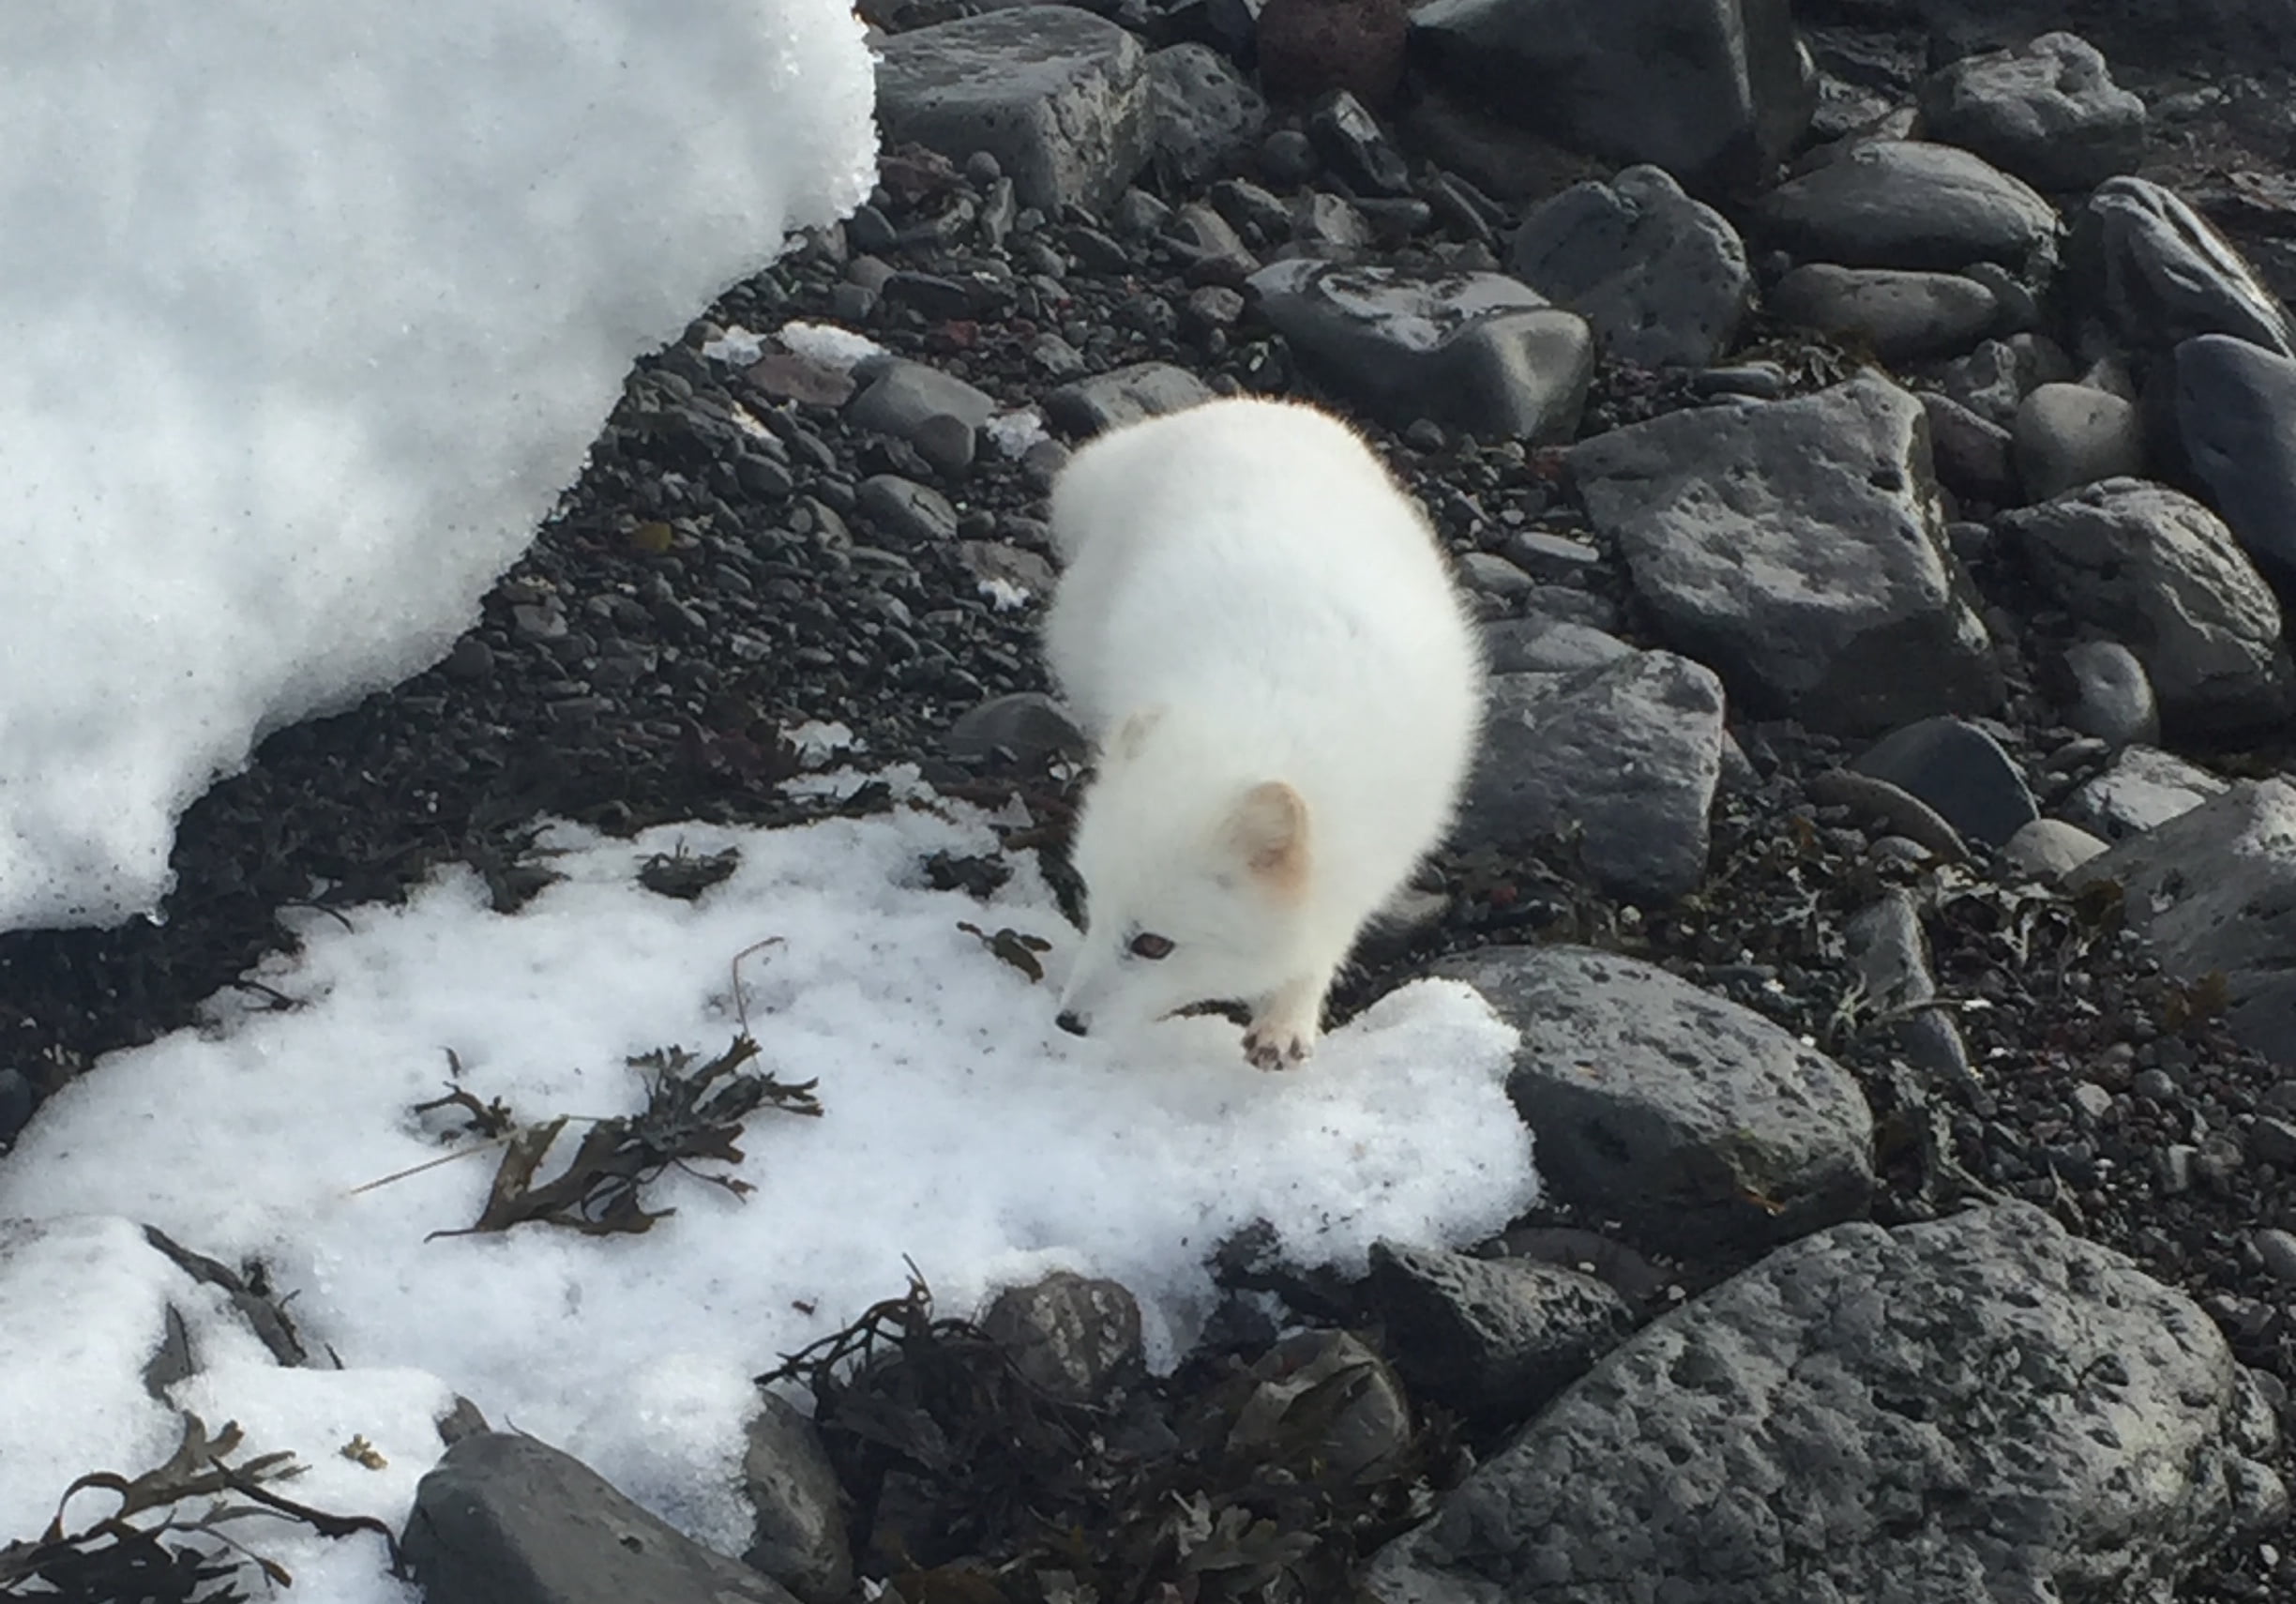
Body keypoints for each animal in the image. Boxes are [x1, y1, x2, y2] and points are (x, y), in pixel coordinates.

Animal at [1040, 395, 1484, 1069]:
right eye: (1091, 901)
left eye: (1153, 944)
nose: (1069, 1022)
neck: (1265, 721)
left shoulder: (1366, 859)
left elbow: (1323, 942)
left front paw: (1286, 1020)